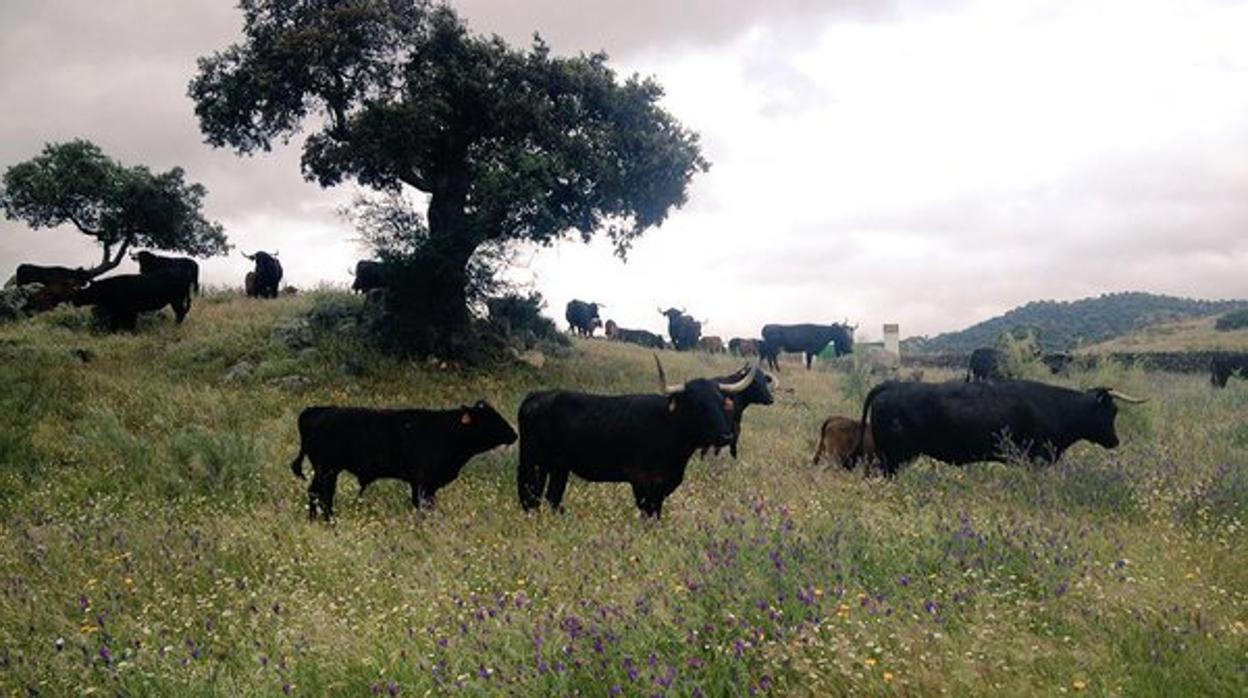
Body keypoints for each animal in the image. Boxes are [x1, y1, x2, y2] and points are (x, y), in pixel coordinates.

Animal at [288, 402, 516, 521]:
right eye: (489, 418)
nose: (514, 434)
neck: (448, 431)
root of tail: (316, 409)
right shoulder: (423, 482)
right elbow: (424, 506)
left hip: (325, 470)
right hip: (327, 469)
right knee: (321, 493)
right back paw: (328, 520)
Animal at [514, 359, 758, 519]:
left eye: (721, 402)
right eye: (698, 405)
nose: (726, 435)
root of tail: (535, 396)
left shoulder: (662, 486)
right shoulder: (641, 481)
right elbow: (646, 513)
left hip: (557, 467)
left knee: (550, 497)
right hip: (531, 461)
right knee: (530, 495)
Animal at [853, 379, 1143, 476]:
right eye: (1111, 411)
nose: (1115, 441)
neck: (1056, 406)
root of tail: (892, 385)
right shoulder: (1035, 458)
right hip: (894, 457)